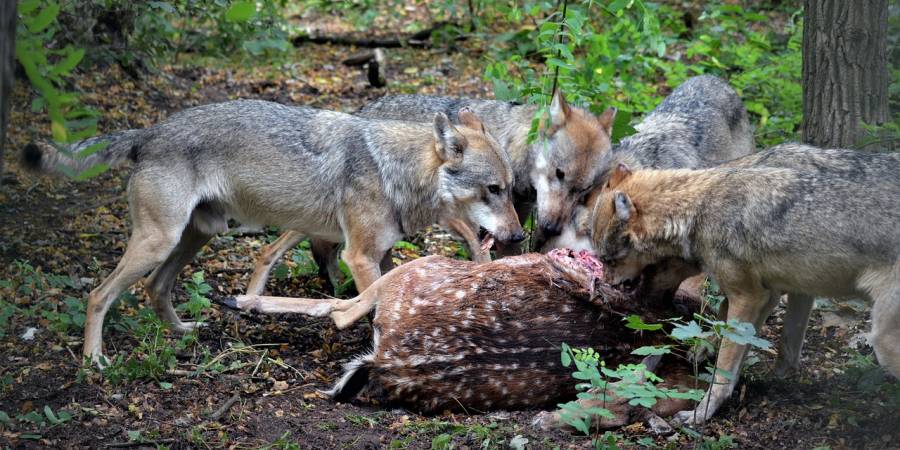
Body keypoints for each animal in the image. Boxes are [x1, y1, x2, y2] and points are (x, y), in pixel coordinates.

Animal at [24, 99, 524, 366]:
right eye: (493, 190)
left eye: (512, 188)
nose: (520, 239)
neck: (396, 172)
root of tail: (150, 131)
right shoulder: (359, 257)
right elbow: (371, 303)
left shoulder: (380, 256)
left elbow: (385, 300)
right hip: (160, 242)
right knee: (98, 294)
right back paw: (94, 360)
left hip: (195, 237)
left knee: (155, 288)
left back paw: (184, 331)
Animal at [592, 147, 900, 422]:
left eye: (608, 260)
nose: (605, 284)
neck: (698, 209)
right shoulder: (772, 294)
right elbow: (765, 345)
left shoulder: (749, 297)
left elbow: (723, 368)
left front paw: (701, 413)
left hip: (883, 342)